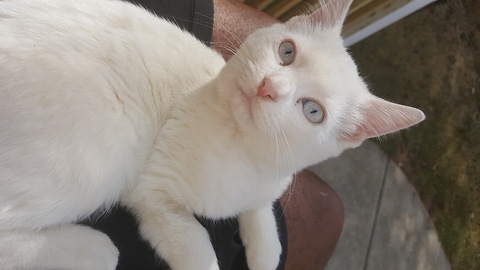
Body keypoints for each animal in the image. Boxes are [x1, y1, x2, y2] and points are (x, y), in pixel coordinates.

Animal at [0, 0, 424, 268]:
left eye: (313, 111)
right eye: (287, 52)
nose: (269, 87)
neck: (245, 152)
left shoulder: (266, 188)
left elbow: (264, 222)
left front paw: (265, 253)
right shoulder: (154, 193)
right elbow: (198, 250)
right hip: (101, 158)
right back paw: (93, 248)